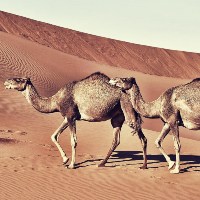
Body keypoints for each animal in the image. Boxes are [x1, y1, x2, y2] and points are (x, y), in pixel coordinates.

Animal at [3, 72, 148, 169]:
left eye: (18, 79)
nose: (6, 82)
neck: (55, 101)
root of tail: (132, 96)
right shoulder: (67, 117)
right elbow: (54, 135)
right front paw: (65, 159)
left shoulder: (71, 116)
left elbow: (73, 141)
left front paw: (72, 164)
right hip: (118, 116)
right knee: (119, 139)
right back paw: (102, 163)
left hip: (127, 110)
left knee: (139, 135)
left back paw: (143, 165)